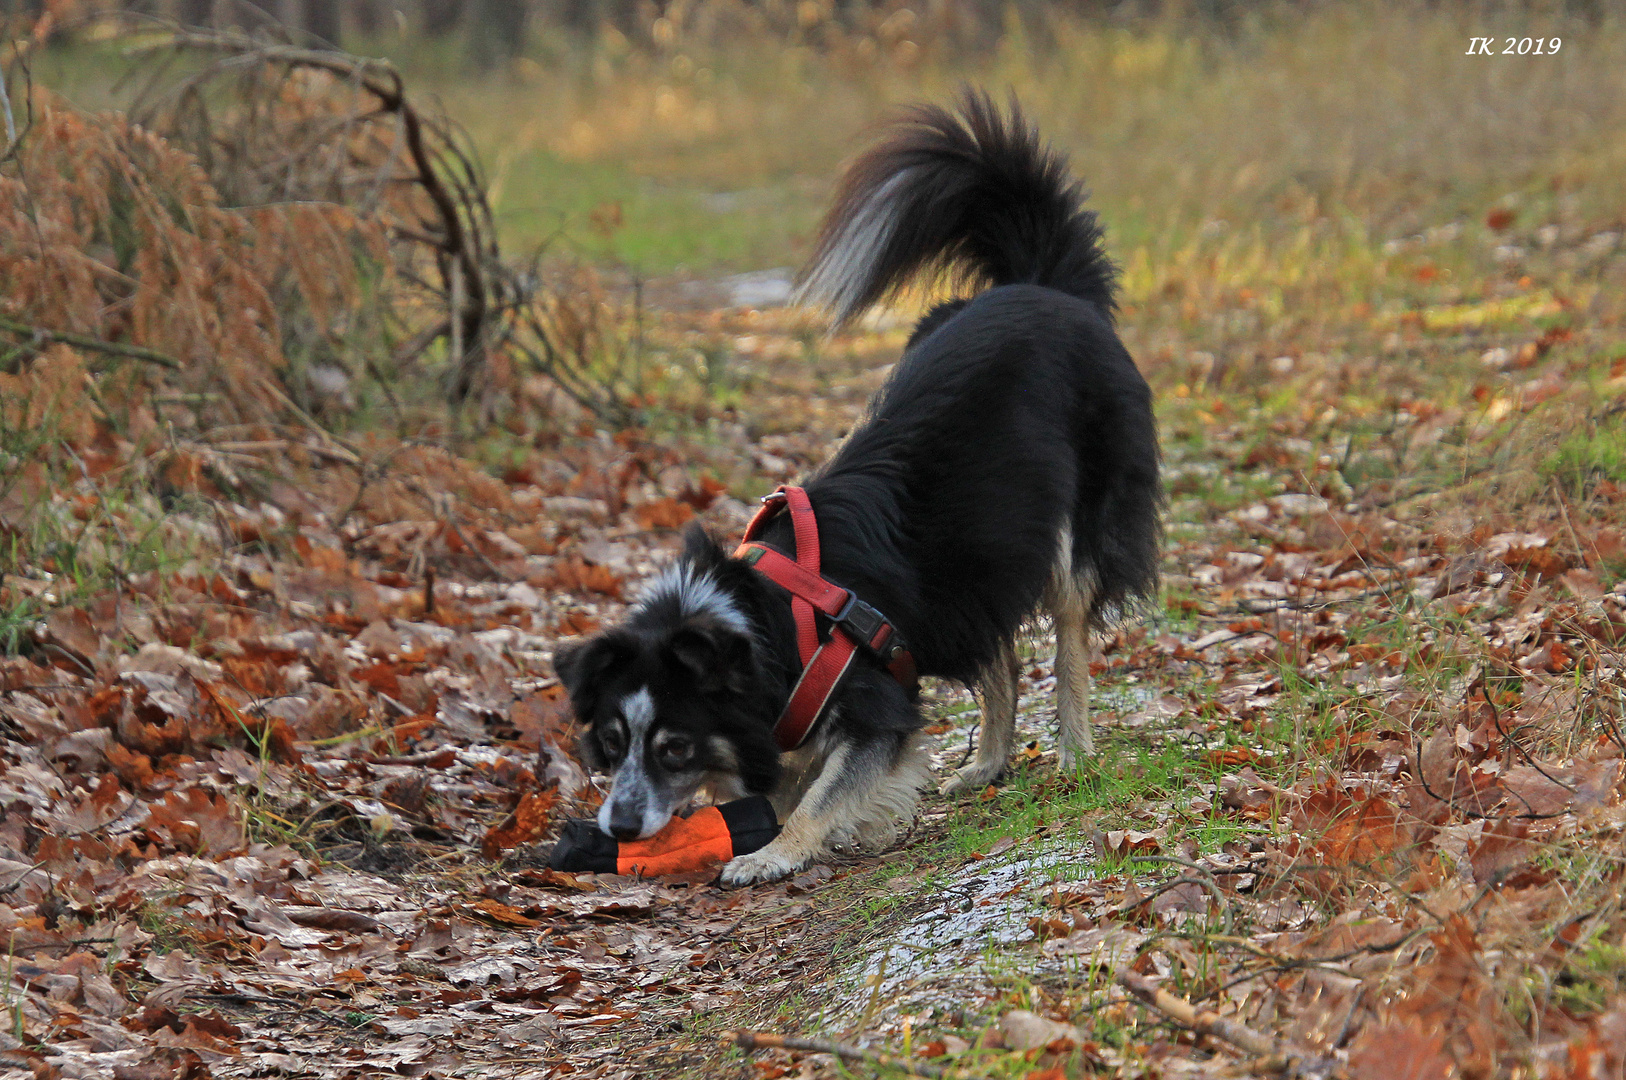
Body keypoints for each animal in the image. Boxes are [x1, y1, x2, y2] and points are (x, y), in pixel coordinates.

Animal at [552, 90, 1164, 884]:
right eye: (612, 741)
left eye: (675, 747)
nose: (620, 828)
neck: (757, 623)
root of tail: (1043, 284)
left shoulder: (875, 696)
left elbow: (825, 790)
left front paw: (773, 853)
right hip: (975, 553)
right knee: (998, 649)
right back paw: (988, 764)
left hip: (1071, 520)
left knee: (1066, 634)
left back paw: (1074, 753)